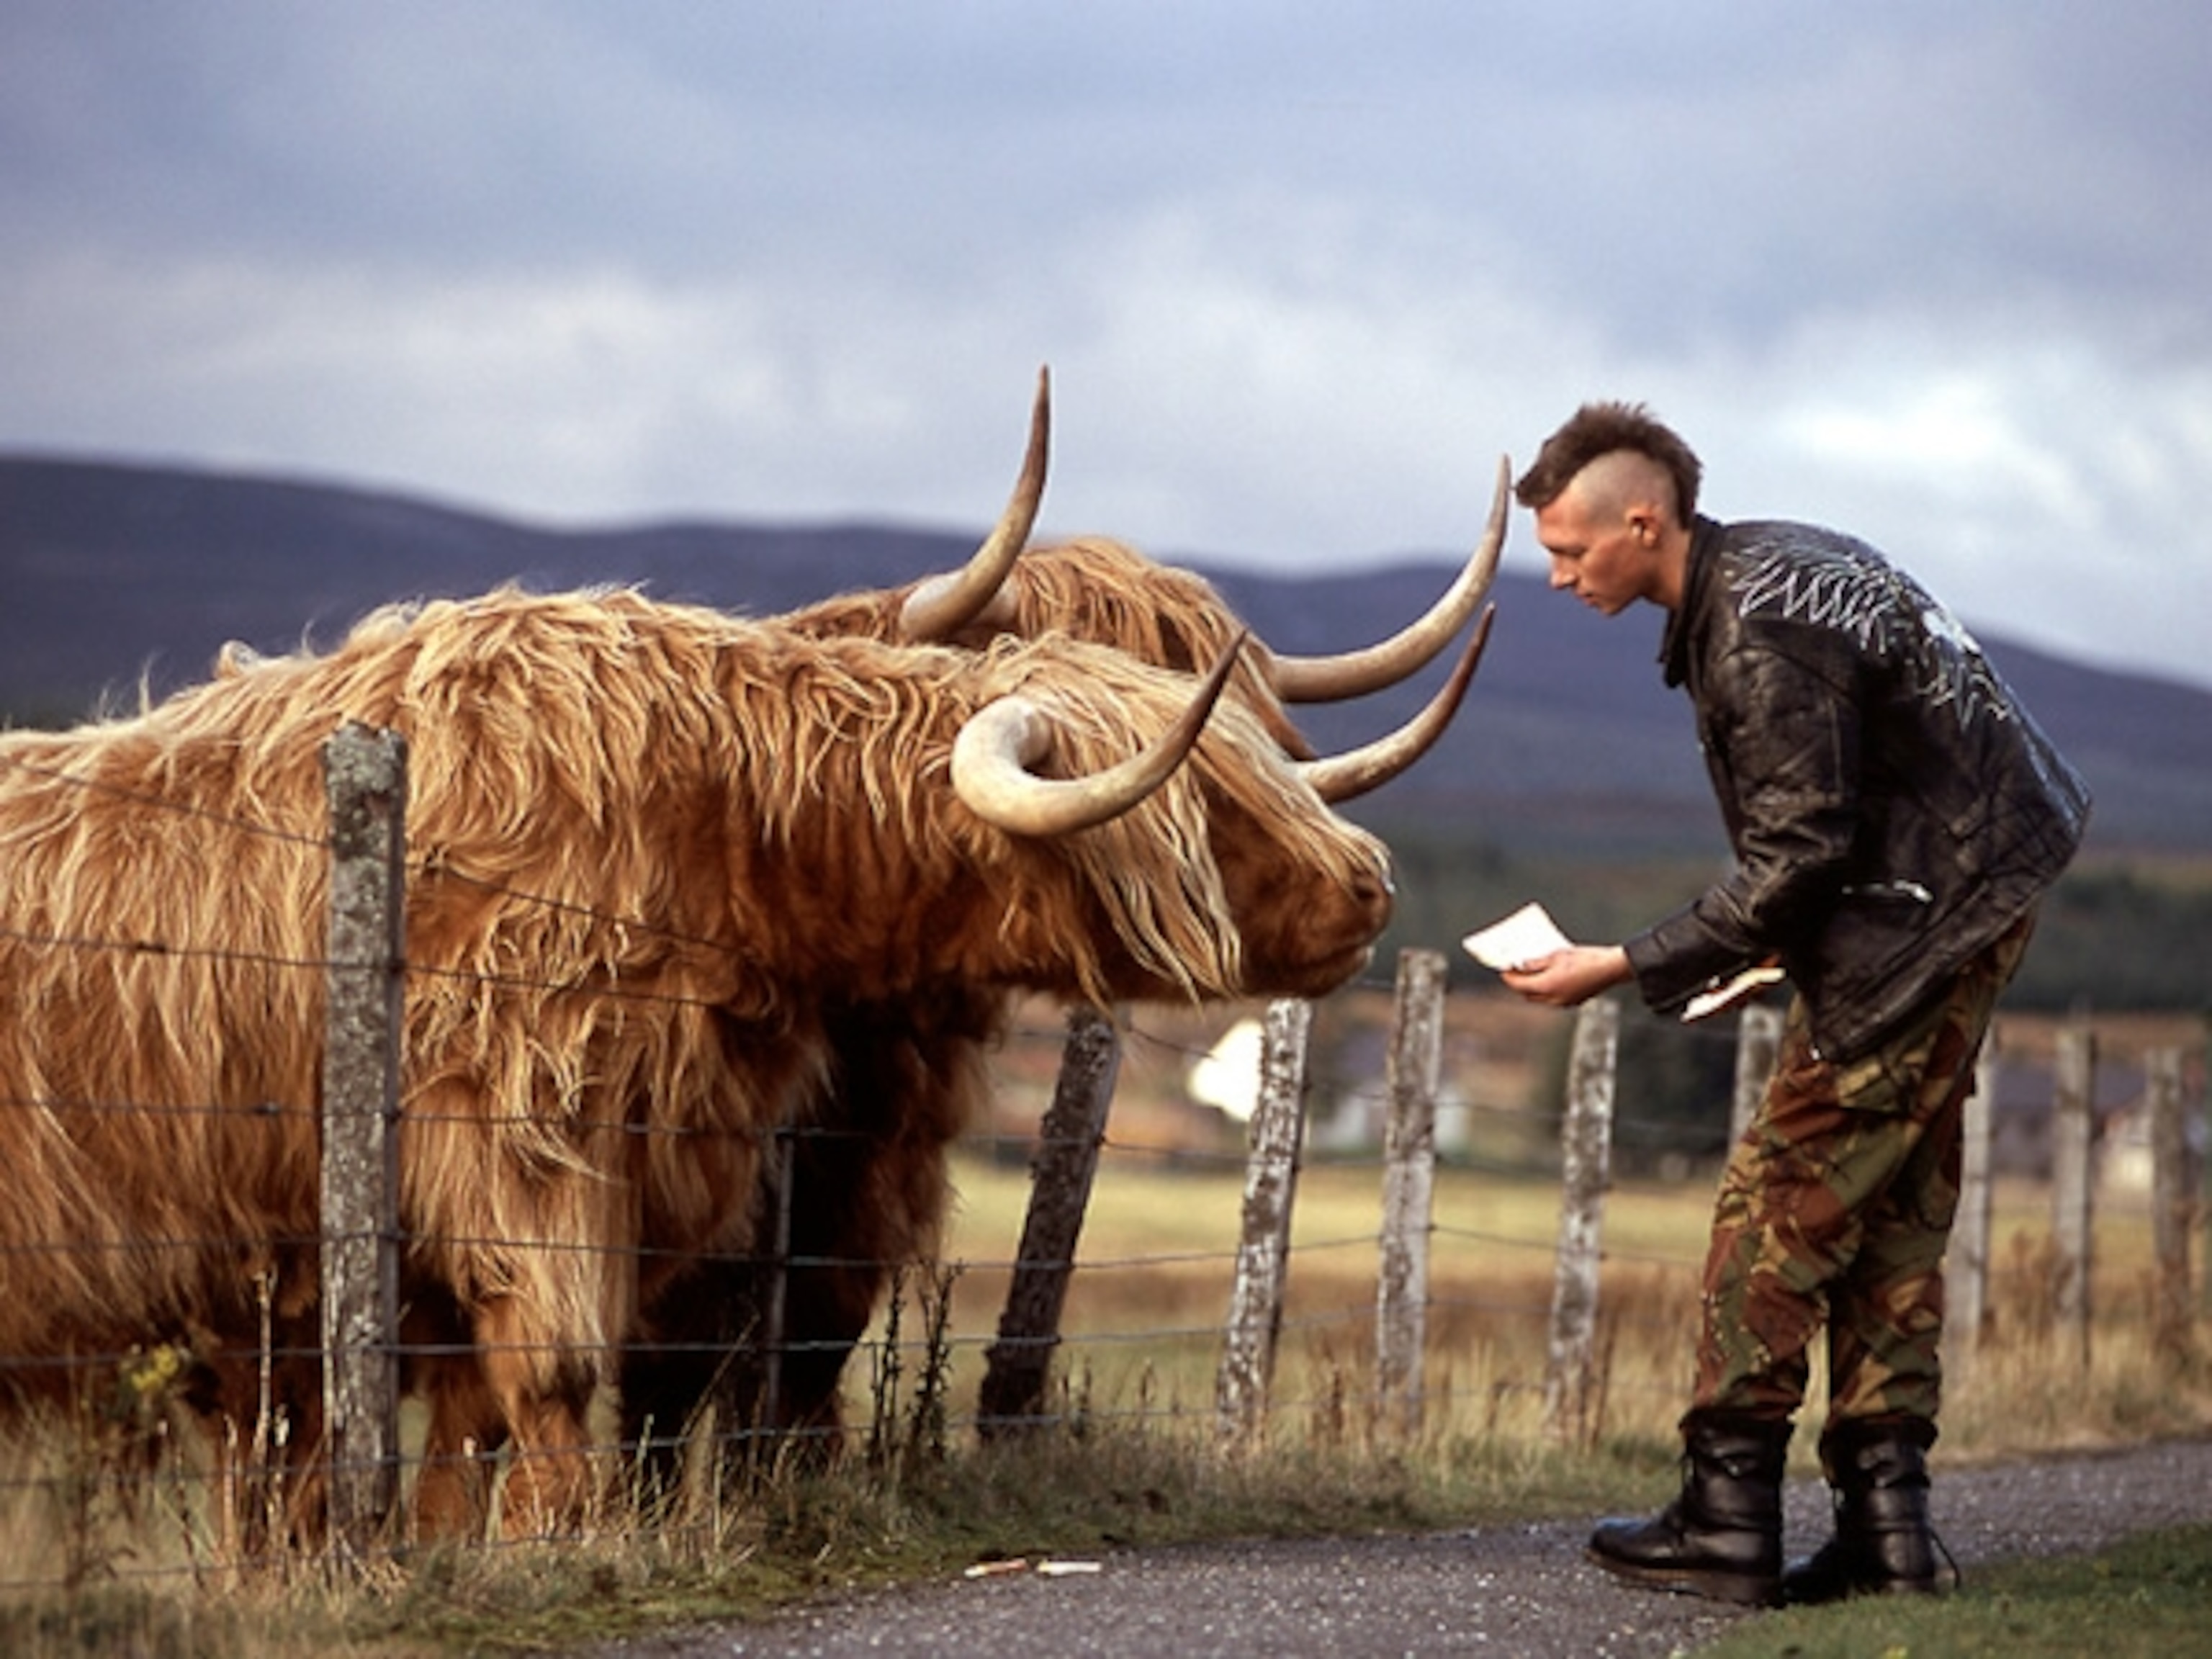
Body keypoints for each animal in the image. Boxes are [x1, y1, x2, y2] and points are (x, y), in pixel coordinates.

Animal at [0, 583, 1394, 1536]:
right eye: (1208, 800)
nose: (1371, 884)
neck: (722, 829)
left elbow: (505, 1415)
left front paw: (457, 1550)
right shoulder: (520, 1147)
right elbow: (554, 1374)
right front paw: (565, 1545)